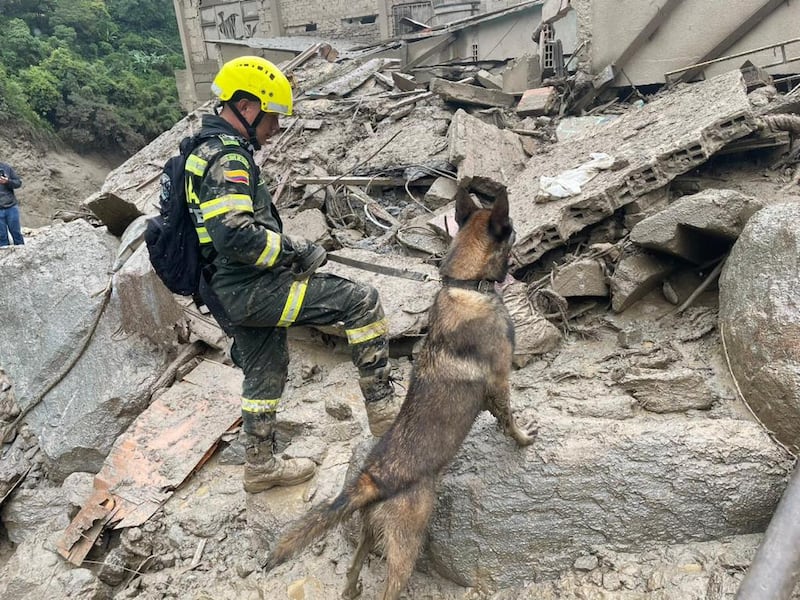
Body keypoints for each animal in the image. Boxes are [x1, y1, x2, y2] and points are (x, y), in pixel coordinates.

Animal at [266, 184, 536, 600]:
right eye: (513, 232)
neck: (466, 284)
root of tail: (371, 480)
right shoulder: (499, 379)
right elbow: (508, 416)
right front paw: (522, 439)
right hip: (407, 539)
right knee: (390, 586)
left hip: (370, 532)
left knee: (353, 569)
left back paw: (351, 589)